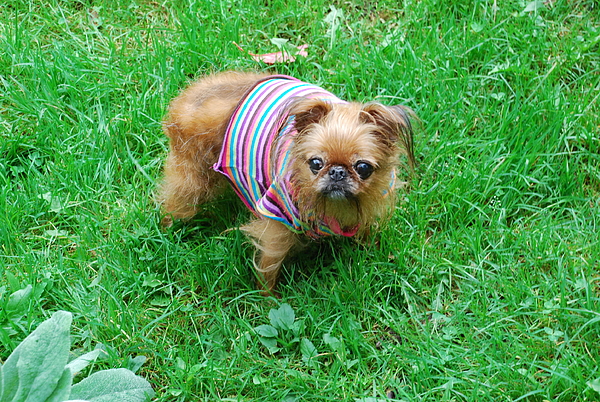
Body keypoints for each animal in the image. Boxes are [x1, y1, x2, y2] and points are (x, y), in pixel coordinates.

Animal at [157, 70, 414, 294]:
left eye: (363, 168)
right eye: (316, 163)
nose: (337, 172)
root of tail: (185, 97)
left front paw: (370, 251)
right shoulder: (276, 223)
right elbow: (270, 262)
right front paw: (267, 296)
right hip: (193, 178)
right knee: (176, 201)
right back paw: (168, 228)